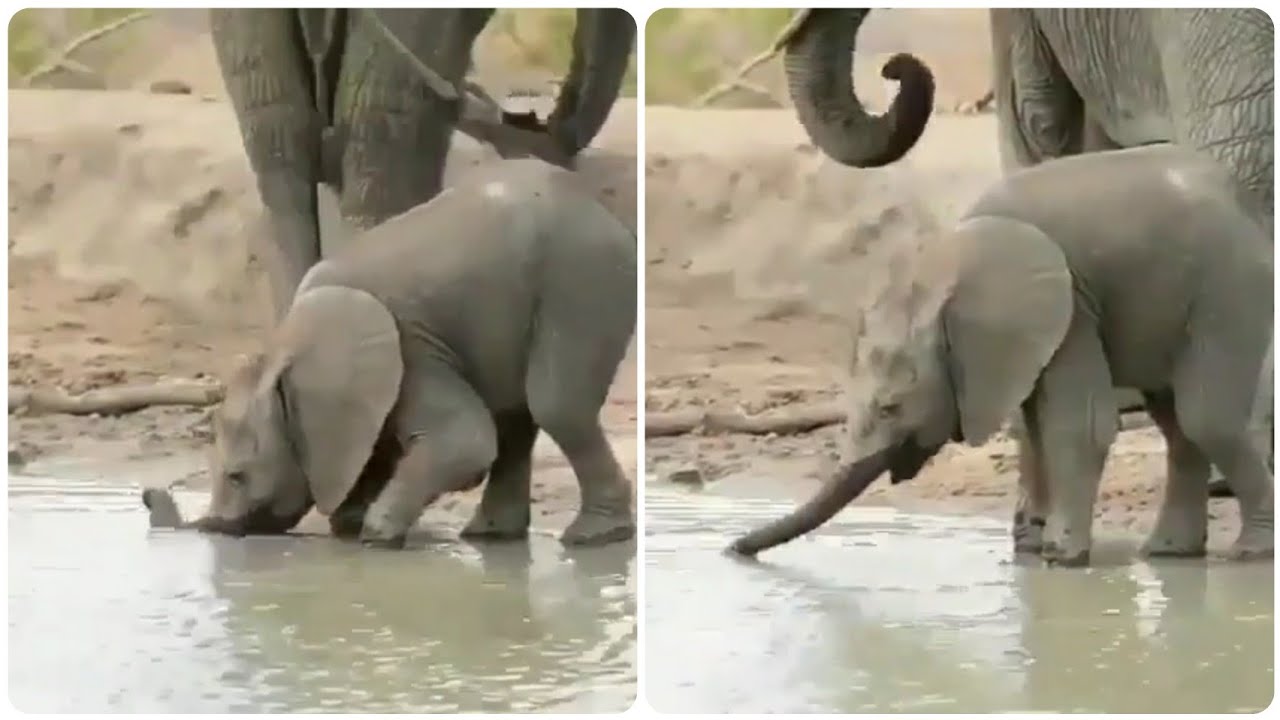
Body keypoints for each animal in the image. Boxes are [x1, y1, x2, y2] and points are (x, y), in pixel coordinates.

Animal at [141, 158, 637, 549]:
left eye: (237, 476)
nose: (147, 494)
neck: (284, 346)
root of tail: (601, 209)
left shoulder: (411, 348)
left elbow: (465, 441)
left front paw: (374, 535)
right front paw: (354, 521)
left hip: (581, 281)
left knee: (554, 407)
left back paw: (594, 537)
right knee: (517, 419)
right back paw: (491, 536)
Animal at [728, 144, 1273, 566]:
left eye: (890, 408)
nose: (733, 548)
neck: (942, 269)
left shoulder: (1068, 305)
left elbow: (1079, 424)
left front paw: (1060, 557)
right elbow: (1031, 426)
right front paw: (1032, 549)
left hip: (1228, 287)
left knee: (1206, 418)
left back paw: (1251, 553)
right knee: (1178, 423)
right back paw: (1167, 554)